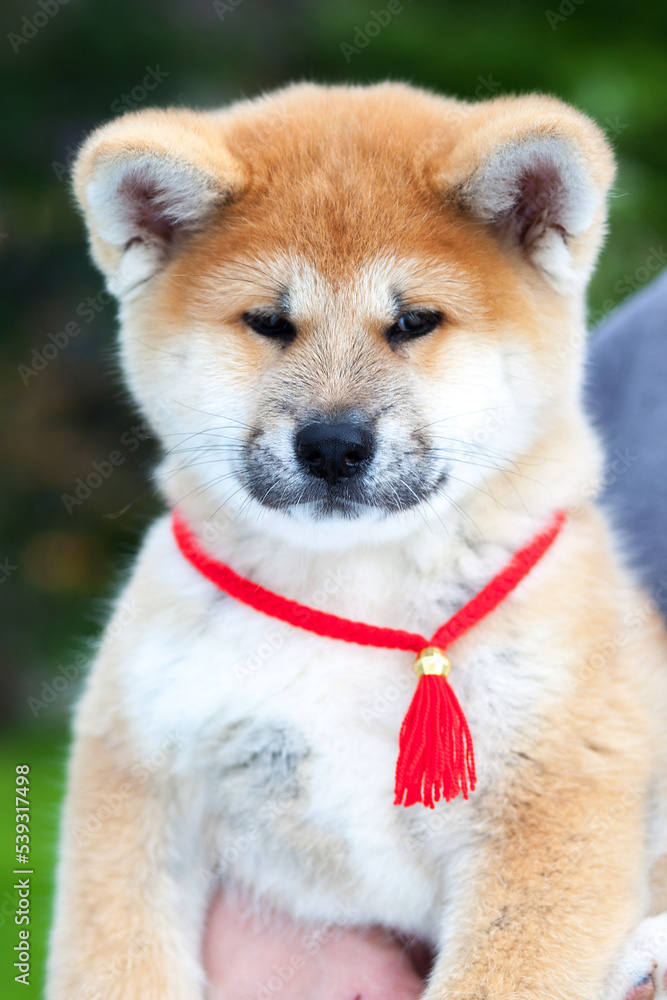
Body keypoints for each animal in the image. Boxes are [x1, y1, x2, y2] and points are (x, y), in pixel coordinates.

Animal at [49, 84, 667, 1000]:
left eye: (413, 321)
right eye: (268, 321)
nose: (333, 444)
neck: (350, 591)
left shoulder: (549, 800)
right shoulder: (137, 778)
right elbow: (114, 962)